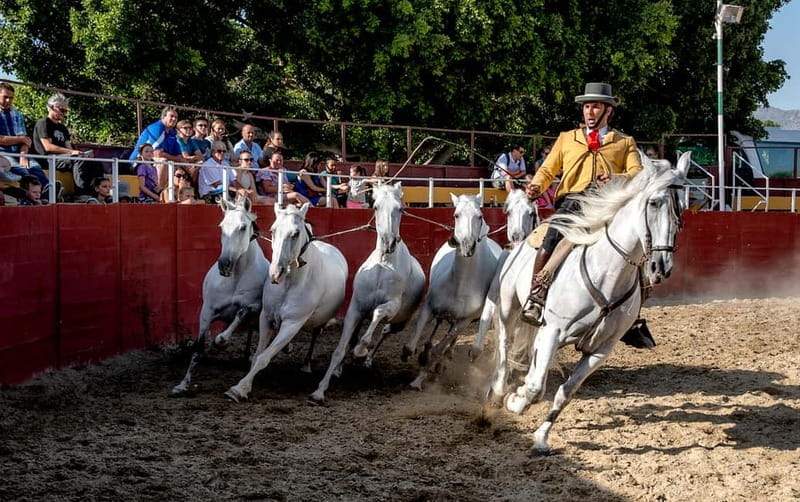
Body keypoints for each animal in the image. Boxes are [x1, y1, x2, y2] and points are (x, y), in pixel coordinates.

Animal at [171, 196, 269, 395]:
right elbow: (198, 349)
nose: (224, 265)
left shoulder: (254, 305)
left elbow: (240, 313)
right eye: (222, 226)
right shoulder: (206, 312)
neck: (236, 277)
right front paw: (183, 385)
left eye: (243, 227)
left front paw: (221, 340)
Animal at [225, 202, 348, 402]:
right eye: (273, 230)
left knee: (315, 335)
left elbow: (264, 357)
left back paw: (307, 365)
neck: (290, 284)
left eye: (295, 233)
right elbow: (258, 354)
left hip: (319, 321)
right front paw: (244, 385)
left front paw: (239, 389)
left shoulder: (292, 324)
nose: (275, 273)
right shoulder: (266, 317)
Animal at [310, 182, 425, 404]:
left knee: (385, 331)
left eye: (400, 208)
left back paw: (369, 358)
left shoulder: (391, 306)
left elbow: (377, 316)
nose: (389, 243)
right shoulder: (356, 308)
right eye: (376, 206)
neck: (383, 265)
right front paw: (319, 390)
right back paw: (342, 368)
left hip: (400, 322)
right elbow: (339, 349)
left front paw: (361, 351)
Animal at [402, 193, 503, 389]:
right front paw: (415, 364)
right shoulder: (428, 308)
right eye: (456, 215)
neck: (460, 284)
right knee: (437, 326)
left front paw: (426, 370)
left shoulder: (464, 321)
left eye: (479, 216)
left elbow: (441, 348)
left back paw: (440, 363)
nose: (467, 246)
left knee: (448, 343)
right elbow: (411, 344)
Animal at [488, 151, 690, 455]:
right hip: (508, 306)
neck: (607, 272)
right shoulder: (553, 331)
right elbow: (536, 387)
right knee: (504, 342)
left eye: (681, 208)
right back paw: (499, 389)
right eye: (654, 202)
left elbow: (565, 392)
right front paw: (515, 401)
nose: (660, 266)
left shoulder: (600, 349)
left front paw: (541, 438)